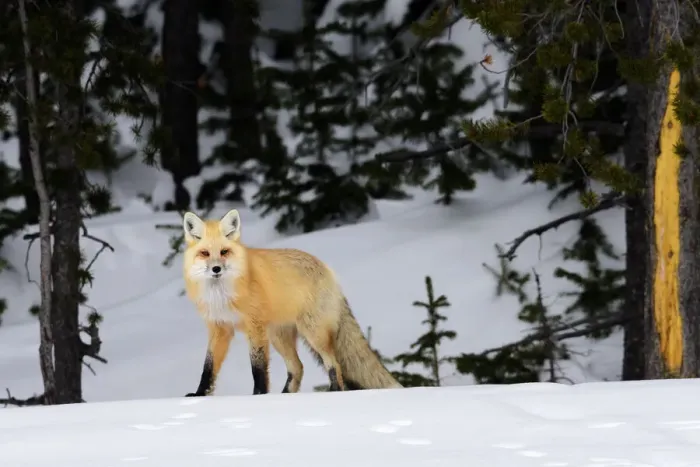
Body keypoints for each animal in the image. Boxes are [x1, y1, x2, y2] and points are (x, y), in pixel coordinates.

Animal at [181, 208, 403, 397]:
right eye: (205, 253)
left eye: (224, 252)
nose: (216, 269)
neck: (221, 295)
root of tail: (327, 269)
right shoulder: (220, 328)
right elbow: (208, 368)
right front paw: (200, 395)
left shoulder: (255, 327)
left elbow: (258, 368)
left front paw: (258, 395)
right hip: (280, 337)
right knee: (298, 367)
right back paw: (286, 396)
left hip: (313, 334)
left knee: (334, 364)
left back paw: (332, 391)